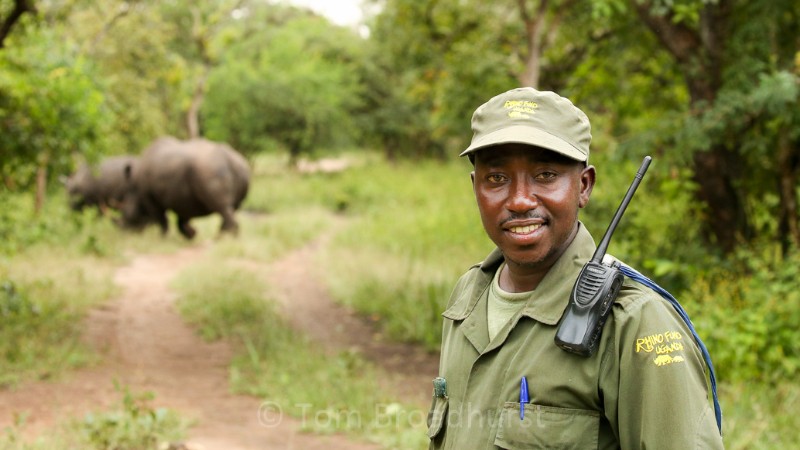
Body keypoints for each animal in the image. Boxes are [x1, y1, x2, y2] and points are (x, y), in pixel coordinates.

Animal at [120, 137, 251, 239]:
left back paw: (221, 240)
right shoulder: (182, 197)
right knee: (230, 208)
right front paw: (192, 234)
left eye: (127, 215)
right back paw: (221, 238)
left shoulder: (149, 198)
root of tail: (232, 161)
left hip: (210, 170)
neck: (134, 190)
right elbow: (181, 220)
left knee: (222, 208)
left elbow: (162, 220)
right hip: (233, 170)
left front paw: (162, 238)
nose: (125, 232)